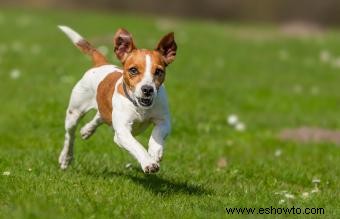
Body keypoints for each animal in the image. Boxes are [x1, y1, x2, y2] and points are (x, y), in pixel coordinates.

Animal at [57, 25, 177, 173]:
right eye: (133, 70)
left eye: (159, 71)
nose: (148, 89)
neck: (140, 107)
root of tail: (101, 64)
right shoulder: (122, 132)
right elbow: (136, 145)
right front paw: (148, 162)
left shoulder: (163, 121)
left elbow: (157, 135)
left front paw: (155, 153)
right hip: (74, 113)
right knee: (70, 136)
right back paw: (65, 158)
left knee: (99, 115)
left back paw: (87, 130)